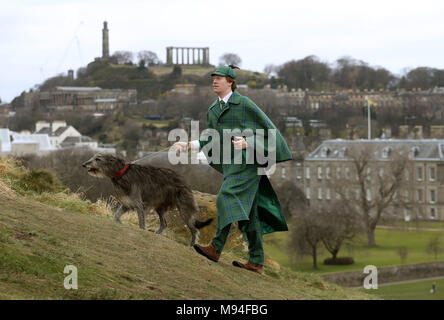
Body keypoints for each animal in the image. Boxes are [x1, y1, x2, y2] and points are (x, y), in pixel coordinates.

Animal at [83, 154, 215, 246]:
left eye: (98, 159)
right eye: (93, 157)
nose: (84, 164)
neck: (122, 173)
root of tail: (184, 181)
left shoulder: (139, 204)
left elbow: (141, 224)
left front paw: (142, 232)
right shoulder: (127, 203)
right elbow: (116, 216)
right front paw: (120, 222)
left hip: (184, 208)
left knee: (194, 229)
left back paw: (192, 244)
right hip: (160, 207)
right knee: (164, 223)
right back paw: (157, 234)